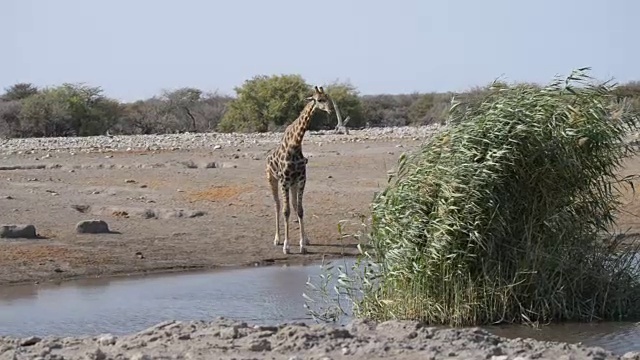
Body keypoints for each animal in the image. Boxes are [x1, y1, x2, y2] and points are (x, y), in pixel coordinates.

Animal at [264, 86, 336, 255]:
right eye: (319, 100)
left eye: (329, 98)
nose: (330, 110)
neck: (295, 145)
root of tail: (267, 157)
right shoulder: (284, 181)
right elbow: (286, 211)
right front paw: (286, 246)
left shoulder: (301, 179)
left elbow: (300, 209)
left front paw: (303, 244)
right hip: (272, 179)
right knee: (277, 205)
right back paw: (277, 239)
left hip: (293, 183)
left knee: (294, 205)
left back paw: (305, 239)